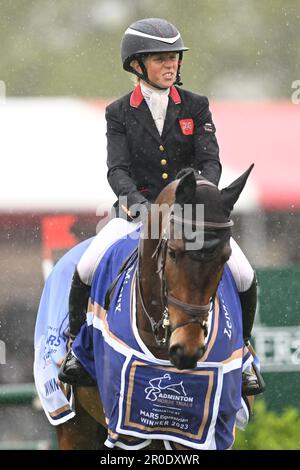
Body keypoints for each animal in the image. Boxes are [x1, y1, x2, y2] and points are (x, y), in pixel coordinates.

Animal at [54, 167, 255, 450]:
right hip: (73, 427)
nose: (187, 349)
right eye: (172, 253)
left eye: (225, 257)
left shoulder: (205, 428)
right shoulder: (128, 426)